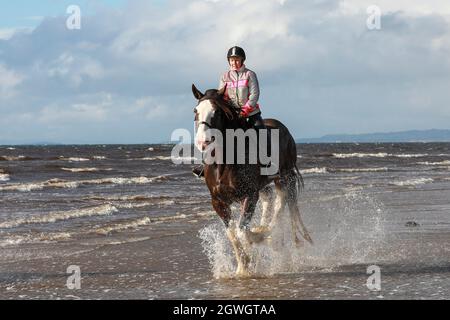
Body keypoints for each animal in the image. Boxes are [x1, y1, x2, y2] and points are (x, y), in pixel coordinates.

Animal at [191, 84, 312, 276]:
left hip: (284, 178)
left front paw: (255, 248)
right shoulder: (218, 202)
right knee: (269, 200)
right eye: (196, 111)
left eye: (217, 112)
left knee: (281, 202)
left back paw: (270, 236)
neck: (225, 162)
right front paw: (243, 267)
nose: (203, 142)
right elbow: (233, 233)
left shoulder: (249, 195)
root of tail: (283, 127)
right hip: (265, 186)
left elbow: (243, 231)